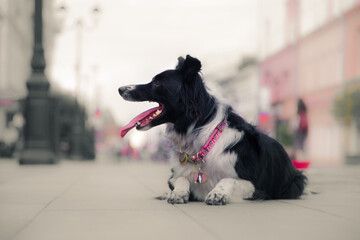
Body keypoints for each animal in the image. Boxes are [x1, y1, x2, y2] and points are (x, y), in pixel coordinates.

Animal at [118, 55, 306, 205]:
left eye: (157, 83)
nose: (120, 89)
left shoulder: (256, 186)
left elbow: (229, 180)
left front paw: (217, 193)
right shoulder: (176, 175)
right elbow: (181, 178)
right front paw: (177, 192)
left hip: (295, 182)